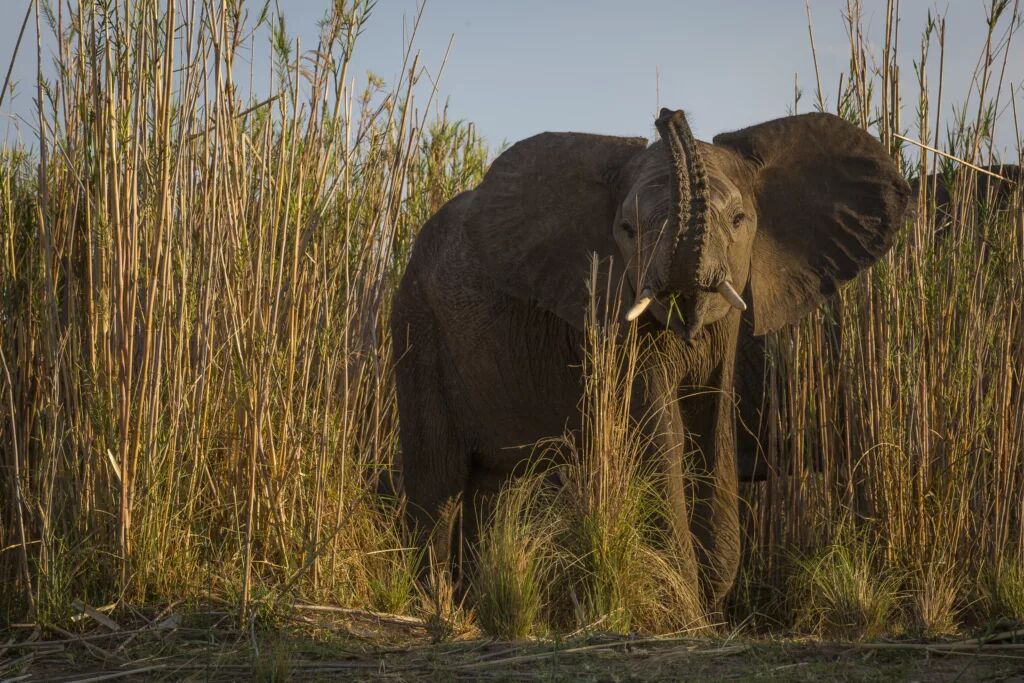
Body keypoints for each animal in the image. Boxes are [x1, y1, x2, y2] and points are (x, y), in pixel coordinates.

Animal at [390, 108, 910, 610]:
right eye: (627, 230)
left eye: (739, 219)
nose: (669, 114)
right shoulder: (609, 322)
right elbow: (662, 435)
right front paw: (685, 606)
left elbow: (712, 433)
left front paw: (709, 592)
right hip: (419, 328)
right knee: (439, 482)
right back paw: (434, 604)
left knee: (496, 486)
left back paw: (474, 606)